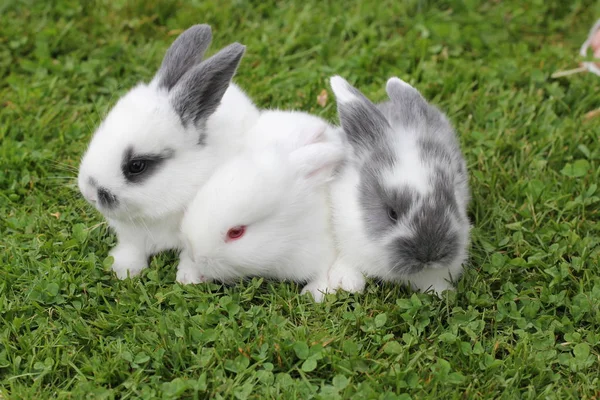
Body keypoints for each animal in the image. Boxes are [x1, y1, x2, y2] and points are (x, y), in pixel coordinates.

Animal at [78, 25, 260, 282]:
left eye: (136, 166)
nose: (89, 193)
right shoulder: (131, 235)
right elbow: (132, 248)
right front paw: (125, 271)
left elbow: (191, 255)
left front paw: (189, 280)